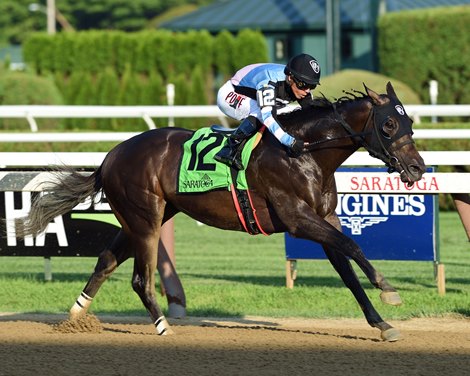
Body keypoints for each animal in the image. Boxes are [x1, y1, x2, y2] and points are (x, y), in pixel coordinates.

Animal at [17, 82, 426, 340]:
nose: (418, 168)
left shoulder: (323, 219)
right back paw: (162, 325)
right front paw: (388, 289)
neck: (306, 152)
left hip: (143, 218)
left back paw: (74, 318)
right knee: (139, 278)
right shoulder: (298, 219)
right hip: (146, 220)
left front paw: (382, 324)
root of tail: (110, 156)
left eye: (409, 122)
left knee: (105, 260)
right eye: (389, 123)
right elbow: (354, 247)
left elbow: (347, 270)